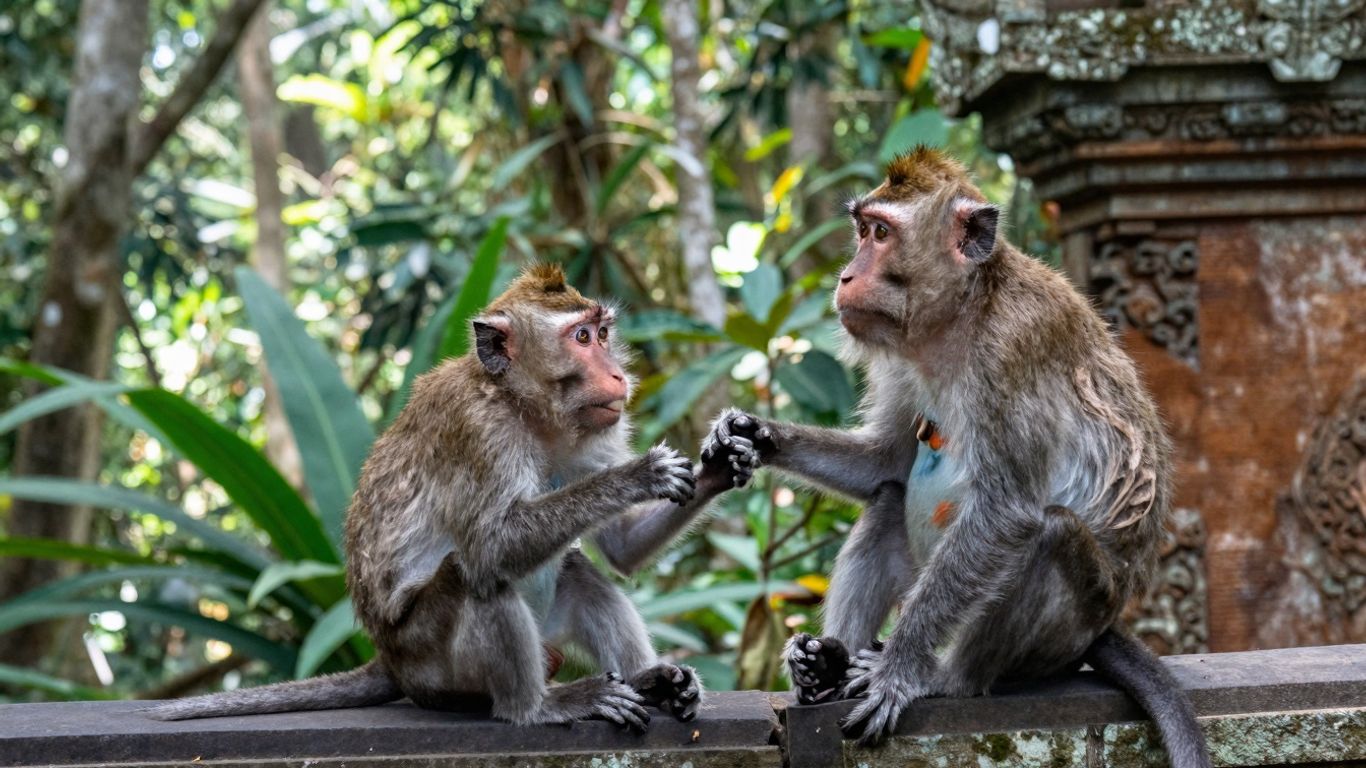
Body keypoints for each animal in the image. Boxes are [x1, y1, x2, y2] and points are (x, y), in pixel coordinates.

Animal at [146, 264, 760, 729]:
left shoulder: (599, 429)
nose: (617, 376)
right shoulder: (477, 432)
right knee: (475, 573)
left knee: (576, 571)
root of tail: (388, 660)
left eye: (603, 334)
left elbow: (620, 550)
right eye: (581, 338)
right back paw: (537, 708)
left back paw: (651, 682)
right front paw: (640, 473)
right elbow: (491, 545)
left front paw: (722, 460)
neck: (524, 408)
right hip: (433, 665)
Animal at [702, 148, 1210, 767]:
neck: (964, 313)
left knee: (1048, 532)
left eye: (880, 234)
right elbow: (885, 467)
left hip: (1066, 628)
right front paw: (750, 433)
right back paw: (826, 665)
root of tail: (1102, 626)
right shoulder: (900, 354)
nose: (846, 277)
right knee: (890, 500)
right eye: (861, 230)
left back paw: (943, 676)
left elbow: (1006, 512)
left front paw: (897, 672)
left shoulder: (1013, 349)